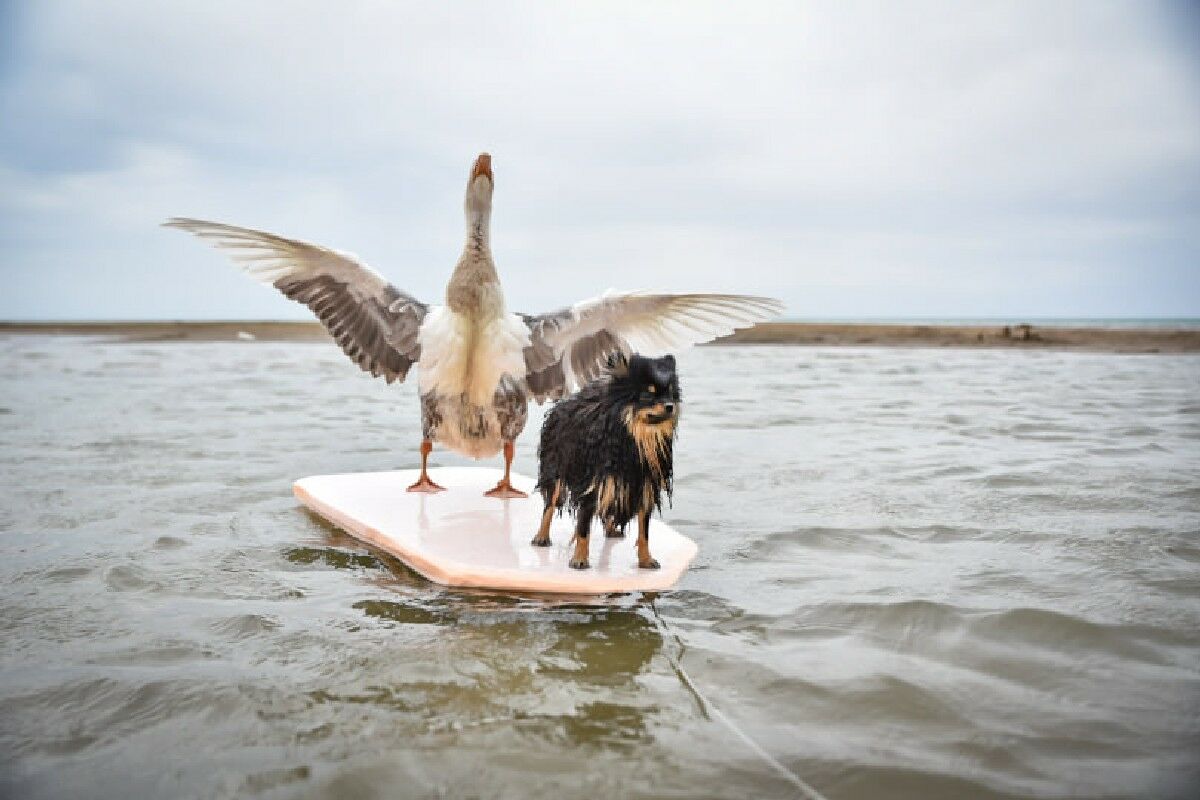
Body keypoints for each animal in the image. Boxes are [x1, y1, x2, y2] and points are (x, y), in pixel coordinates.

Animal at [530, 352, 681, 568]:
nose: (670, 406)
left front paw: (646, 560)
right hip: (555, 469)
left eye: (671, 394)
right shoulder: (591, 484)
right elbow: (583, 528)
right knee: (549, 505)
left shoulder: (643, 485)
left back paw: (611, 530)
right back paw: (541, 537)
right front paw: (579, 560)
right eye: (648, 395)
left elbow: (644, 531)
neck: (635, 438)